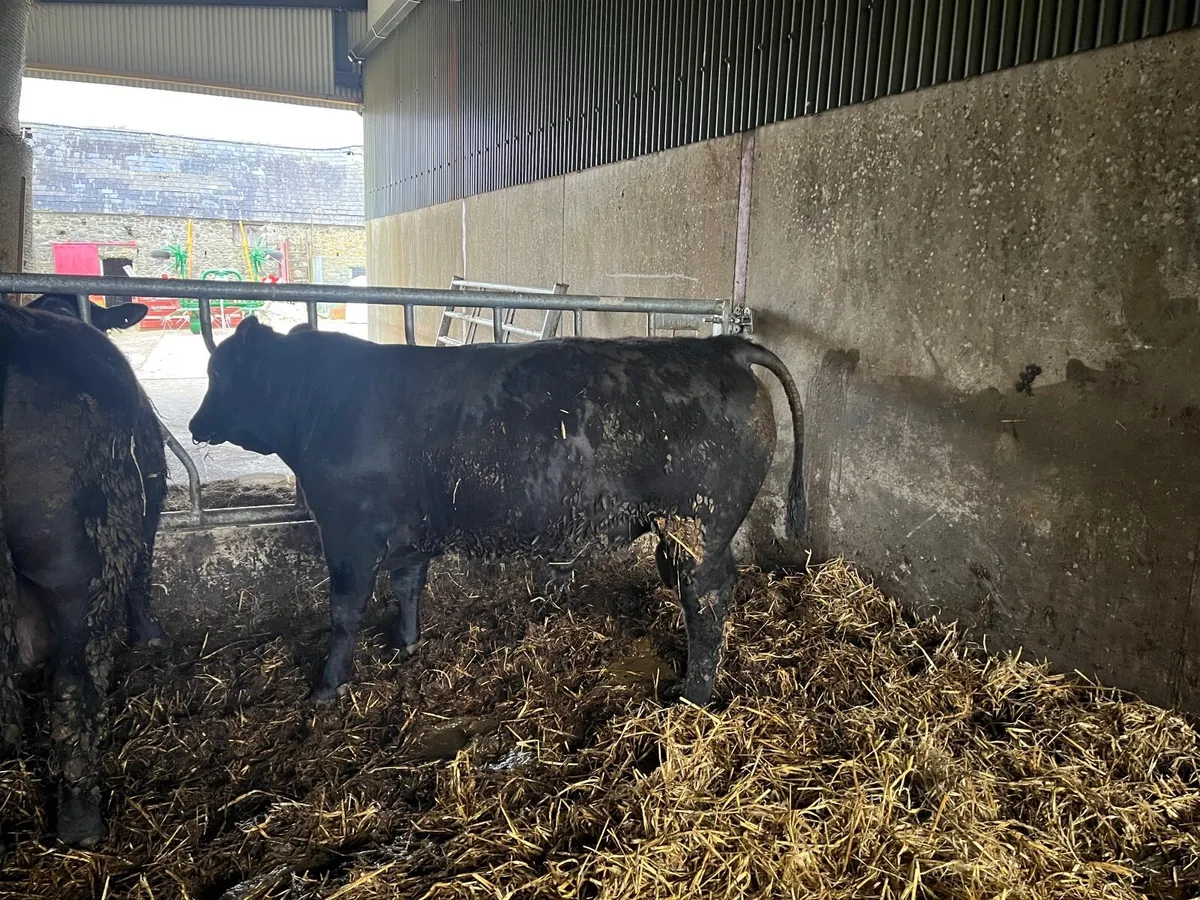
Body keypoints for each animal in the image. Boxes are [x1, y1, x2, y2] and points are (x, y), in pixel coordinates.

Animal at [189, 318, 805, 707]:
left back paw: (692, 696)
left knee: (707, 593)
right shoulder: (410, 531)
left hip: (699, 520)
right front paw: (405, 644)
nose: (195, 425)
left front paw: (325, 688)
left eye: (219, 374)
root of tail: (722, 346)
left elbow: (344, 612)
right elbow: (408, 583)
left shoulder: (347, 530)